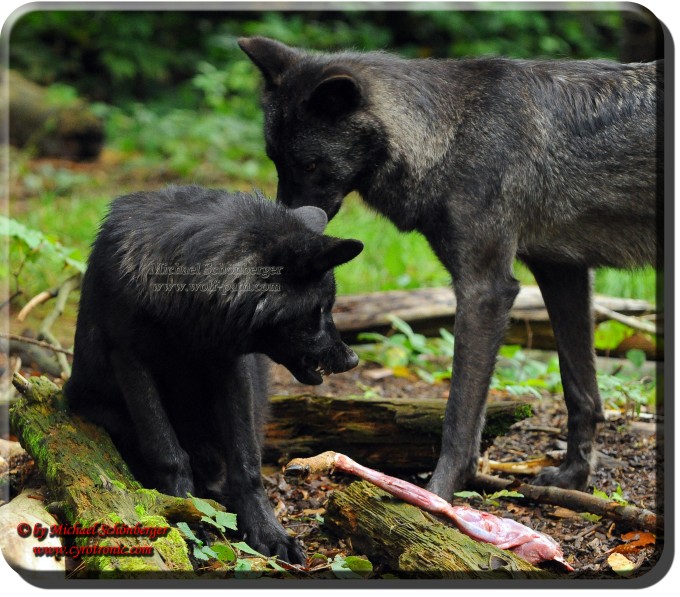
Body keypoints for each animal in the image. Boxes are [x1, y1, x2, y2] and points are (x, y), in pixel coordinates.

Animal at [66, 184, 364, 560]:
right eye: (321, 309)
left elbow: (247, 462)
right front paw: (186, 519)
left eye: (331, 306)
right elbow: (168, 453)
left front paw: (269, 533)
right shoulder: (131, 363)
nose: (353, 360)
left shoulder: (230, 366)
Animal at [240, 37, 664, 500]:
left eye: (311, 164)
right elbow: (580, 391)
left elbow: (459, 414)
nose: (284, 231)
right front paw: (574, 478)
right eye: (276, 160)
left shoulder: (485, 289)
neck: (453, 135)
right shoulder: (561, 272)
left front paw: (437, 496)